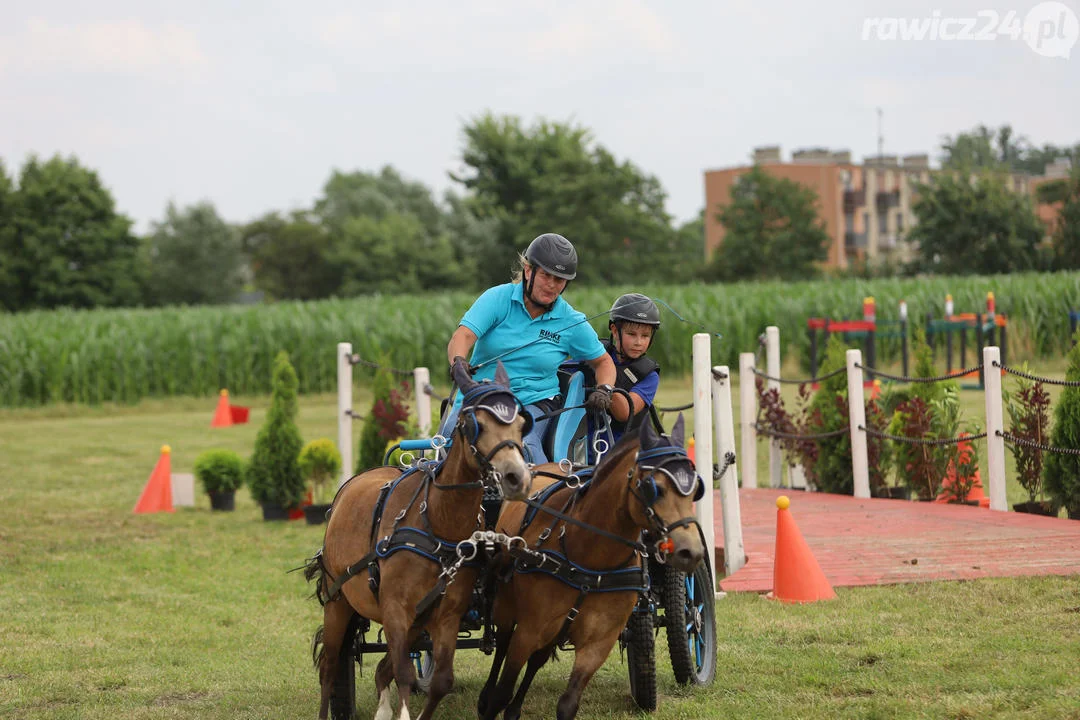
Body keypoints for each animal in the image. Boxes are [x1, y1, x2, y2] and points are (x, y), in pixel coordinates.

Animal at [304, 367, 531, 720]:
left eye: (521, 424)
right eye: (474, 423)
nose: (515, 476)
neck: (436, 524)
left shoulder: (447, 614)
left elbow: (440, 680)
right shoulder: (395, 609)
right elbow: (404, 673)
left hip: (415, 621)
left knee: (383, 669)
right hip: (338, 600)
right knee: (331, 666)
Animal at [477, 416, 704, 720]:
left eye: (695, 488)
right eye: (652, 487)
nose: (691, 551)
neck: (590, 561)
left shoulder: (598, 642)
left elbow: (568, 704)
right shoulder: (528, 630)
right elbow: (502, 690)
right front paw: (491, 703)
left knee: (537, 660)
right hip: (507, 608)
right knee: (502, 645)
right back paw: (486, 697)